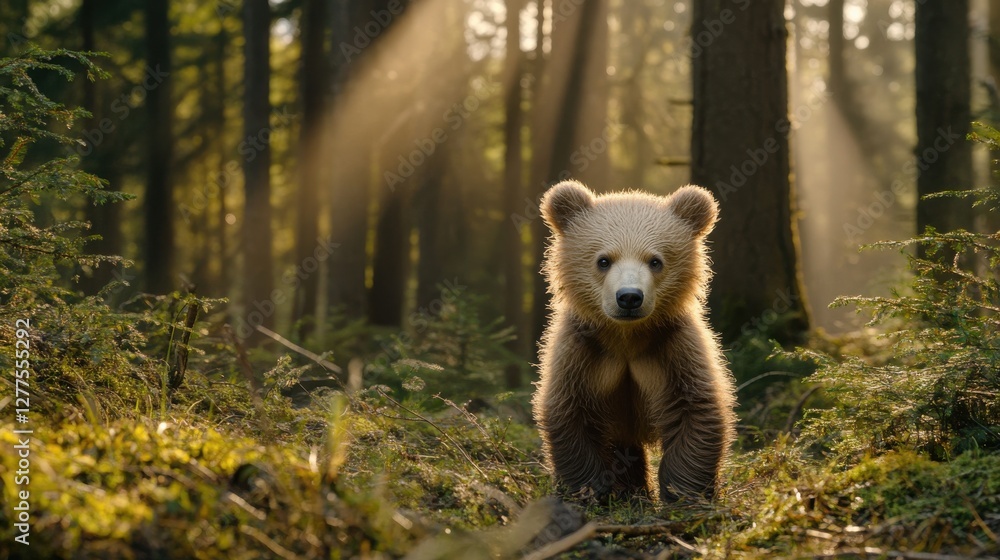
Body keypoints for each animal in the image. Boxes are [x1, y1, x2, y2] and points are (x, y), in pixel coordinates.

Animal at [532, 180, 737, 502]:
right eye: (603, 260)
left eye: (655, 261)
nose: (629, 297)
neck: (626, 338)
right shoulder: (583, 352)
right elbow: (570, 411)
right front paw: (590, 491)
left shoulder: (672, 348)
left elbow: (696, 410)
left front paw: (685, 494)